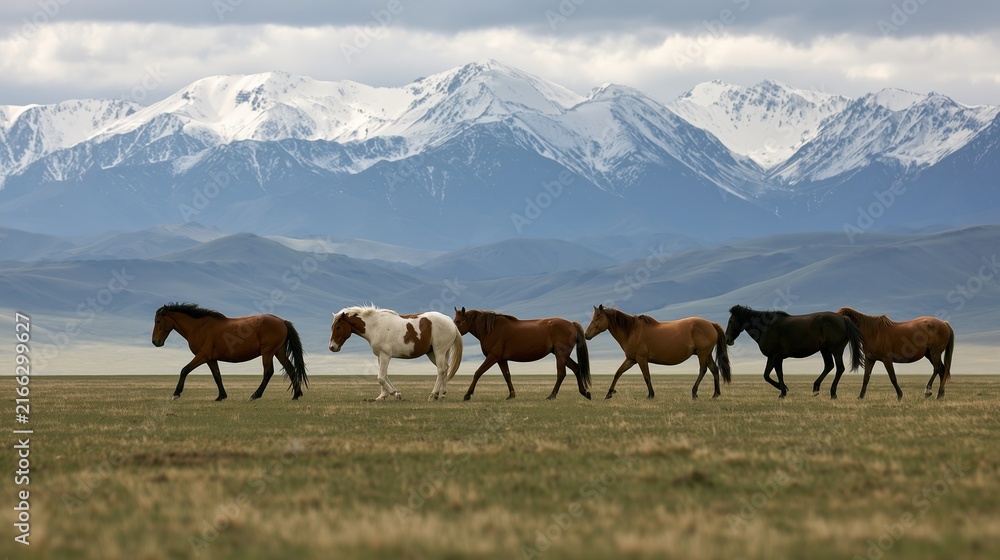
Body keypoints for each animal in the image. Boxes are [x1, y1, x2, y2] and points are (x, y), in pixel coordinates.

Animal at [151, 302, 308, 401]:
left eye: (158, 321)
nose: (155, 342)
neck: (199, 327)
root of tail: (282, 321)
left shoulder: (202, 356)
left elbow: (184, 370)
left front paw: (176, 394)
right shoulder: (211, 359)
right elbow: (217, 376)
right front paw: (221, 396)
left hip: (268, 352)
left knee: (268, 372)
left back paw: (254, 395)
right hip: (278, 352)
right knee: (291, 369)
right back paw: (296, 395)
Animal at [329, 305, 463, 401]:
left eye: (338, 327)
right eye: (332, 327)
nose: (332, 347)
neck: (376, 326)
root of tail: (451, 323)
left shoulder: (385, 356)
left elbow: (381, 377)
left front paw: (395, 394)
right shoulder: (380, 356)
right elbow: (384, 376)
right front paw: (383, 396)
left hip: (439, 351)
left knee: (441, 370)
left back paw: (433, 395)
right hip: (433, 353)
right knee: (445, 368)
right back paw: (442, 394)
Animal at [453, 307, 591, 401]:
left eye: (458, 321)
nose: (453, 333)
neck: (490, 330)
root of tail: (571, 324)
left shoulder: (493, 357)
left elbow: (478, 373)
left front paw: (467, 394)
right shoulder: (501, 359)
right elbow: (507, 376)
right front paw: (511, 394)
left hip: (560, 355)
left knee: (561, 374)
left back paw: (552, 395)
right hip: (563, 356)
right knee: (576, 368)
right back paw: (585, 392)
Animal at [584, 305, 731, 400]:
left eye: (596, 319)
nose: (586, 335)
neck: (631, 331)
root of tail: (711, 324)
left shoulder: (641, 359)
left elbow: (646, 377)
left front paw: (650, 395)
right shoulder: (631, 359)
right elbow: (618, 373)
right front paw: (609, 393)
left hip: (702, 353)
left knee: (703, 370)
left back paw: (694, 392)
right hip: (707, 354)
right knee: (714, 369)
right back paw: (715, 394)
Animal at [725, 305, 862, 399]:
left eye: (731, 321)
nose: (727, 339)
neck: (766, 328)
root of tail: (843, 318)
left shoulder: (776, 356)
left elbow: (778, 374)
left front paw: (783, 392)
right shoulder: (771, 357)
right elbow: (766, 375)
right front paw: (784, 389)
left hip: (836, 349)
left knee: (839, 368)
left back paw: (833, 393)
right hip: (825, 349)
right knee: (829, 366)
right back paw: (816, 388)